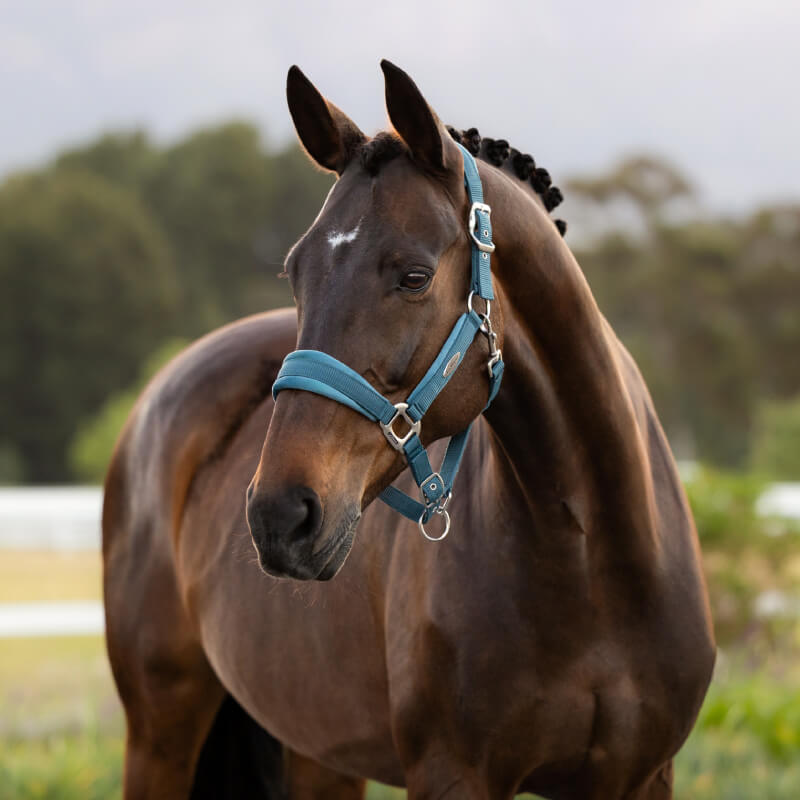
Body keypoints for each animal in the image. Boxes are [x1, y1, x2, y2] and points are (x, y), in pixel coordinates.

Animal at [103, 61, 715, 799]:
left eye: (415, 276)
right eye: (296, 272)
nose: (280, 515)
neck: (591, 562)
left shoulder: (641, 776)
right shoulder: (453, 775)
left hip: (318, 748)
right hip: (158, 736)